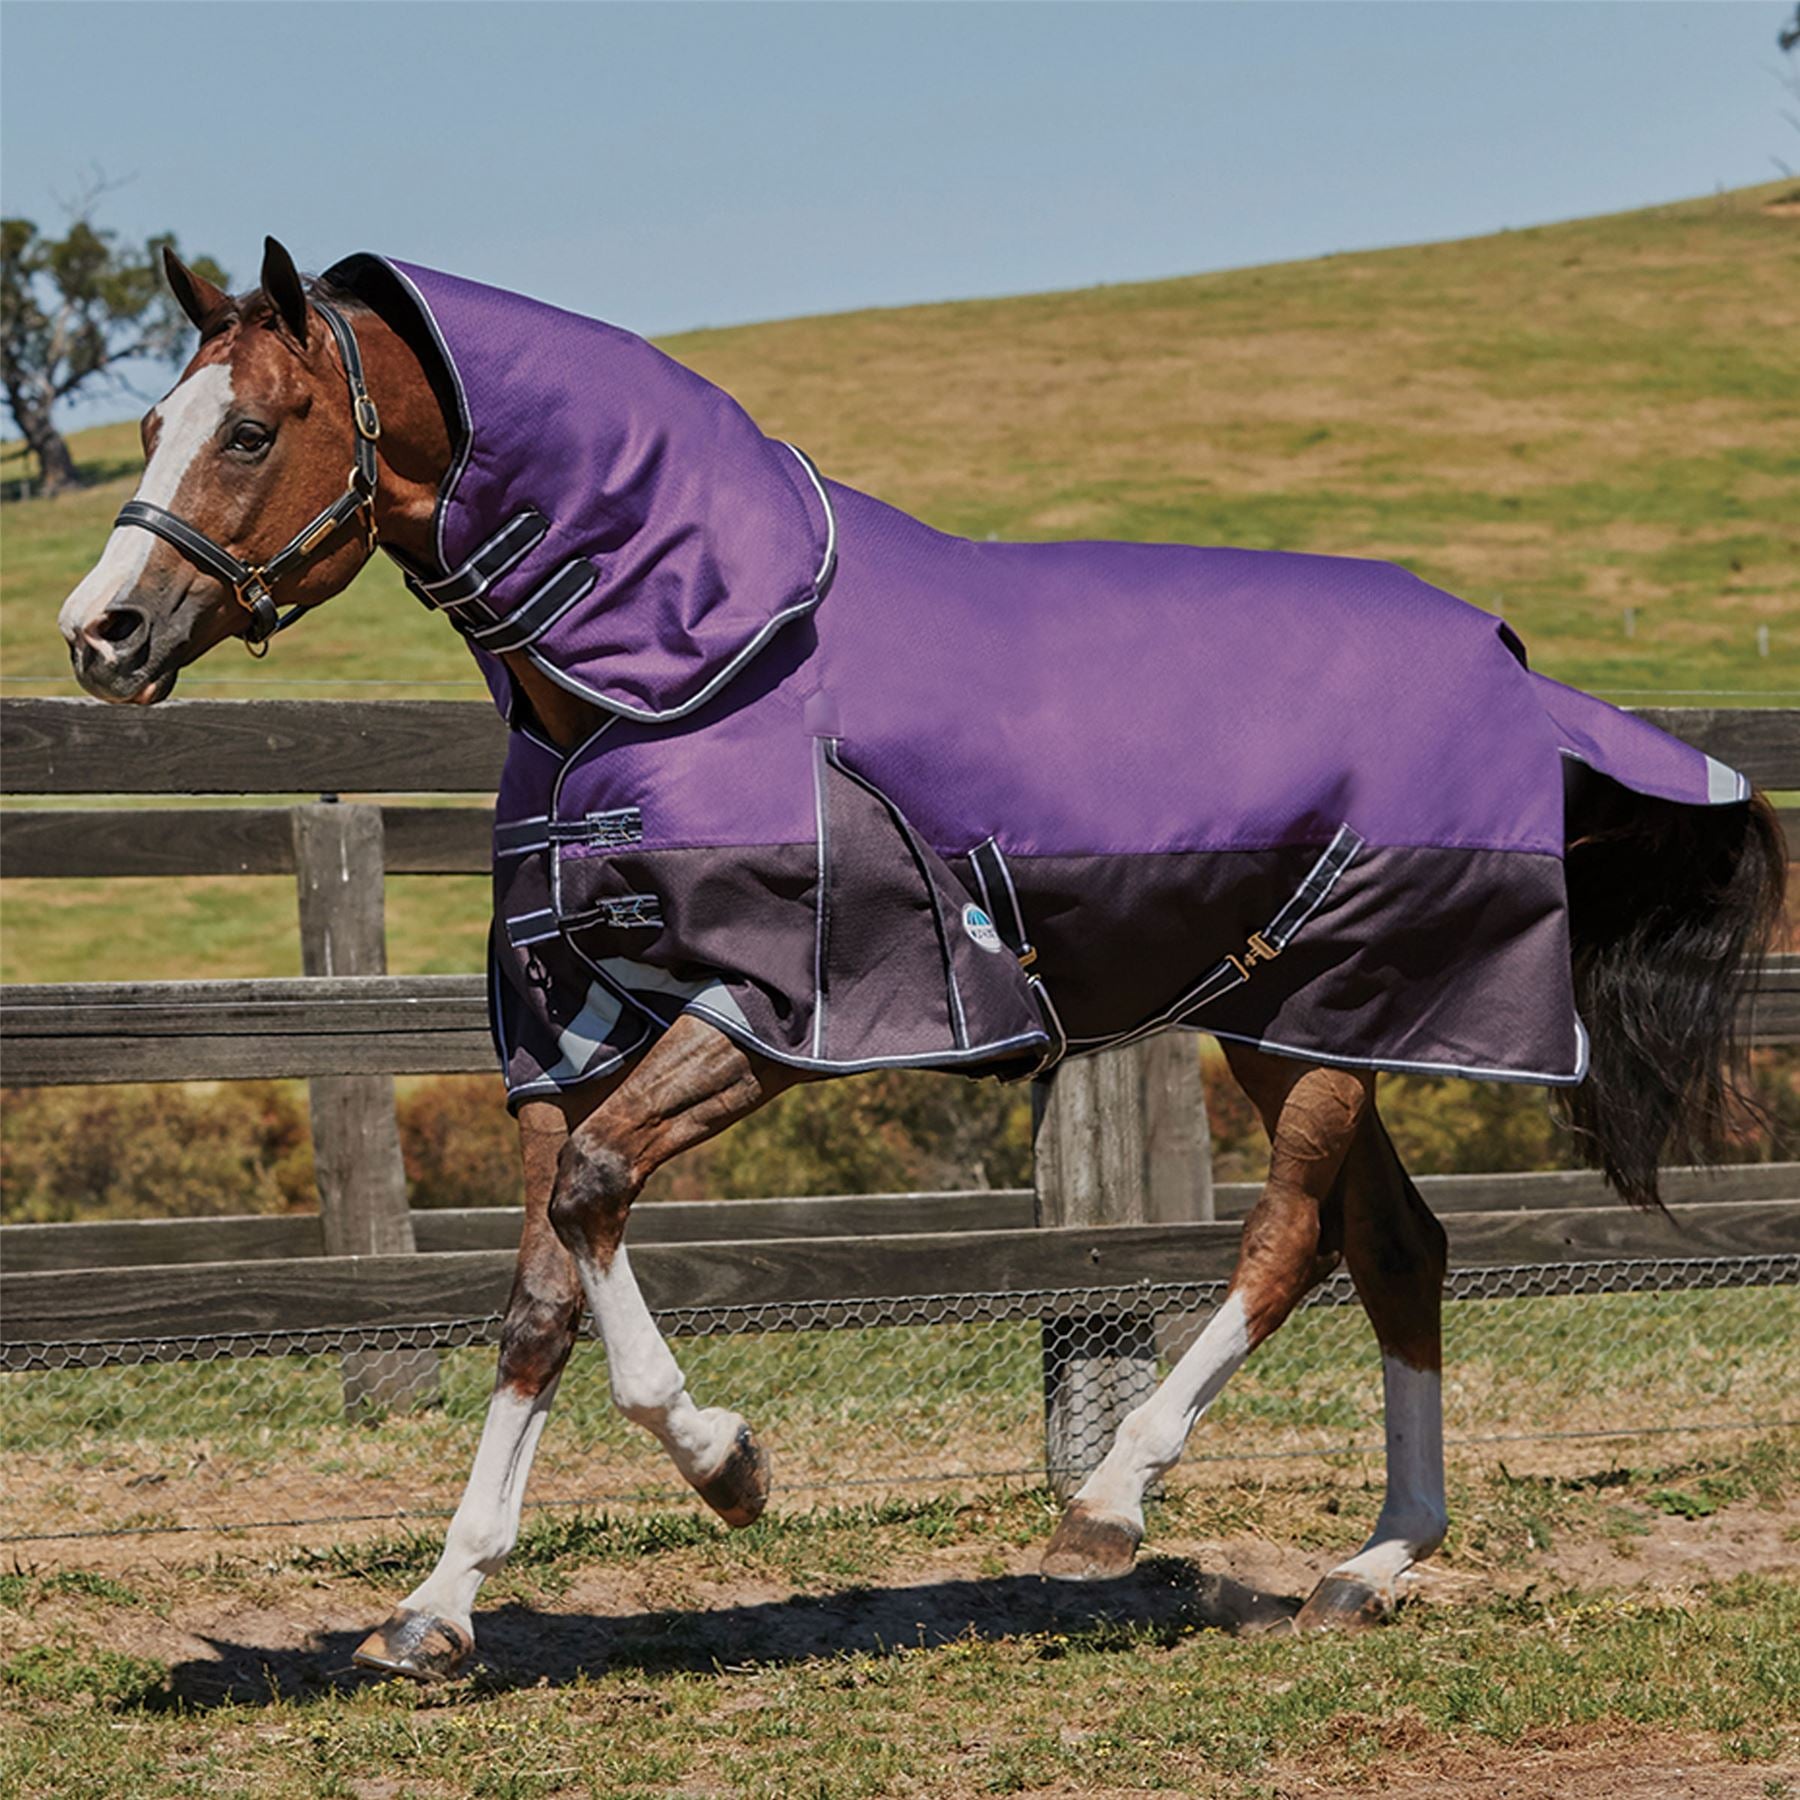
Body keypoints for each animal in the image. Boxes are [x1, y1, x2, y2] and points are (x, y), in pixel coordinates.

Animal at [57, 239, 1785, 1680]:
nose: (101, 634)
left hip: (1337, 1014)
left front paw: (729, 1465)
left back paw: (1113, 1504)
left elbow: (598, 1201)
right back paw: (1368, 1568)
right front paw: (435, 1609)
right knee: (1400, 1250)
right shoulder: (567, 1029)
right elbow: (541, 1289)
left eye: (252, 431)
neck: (692, 663)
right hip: (1297, 1021)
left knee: (1291, 1243)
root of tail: (1514, 666)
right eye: (150, 420)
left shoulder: (779, 1010)